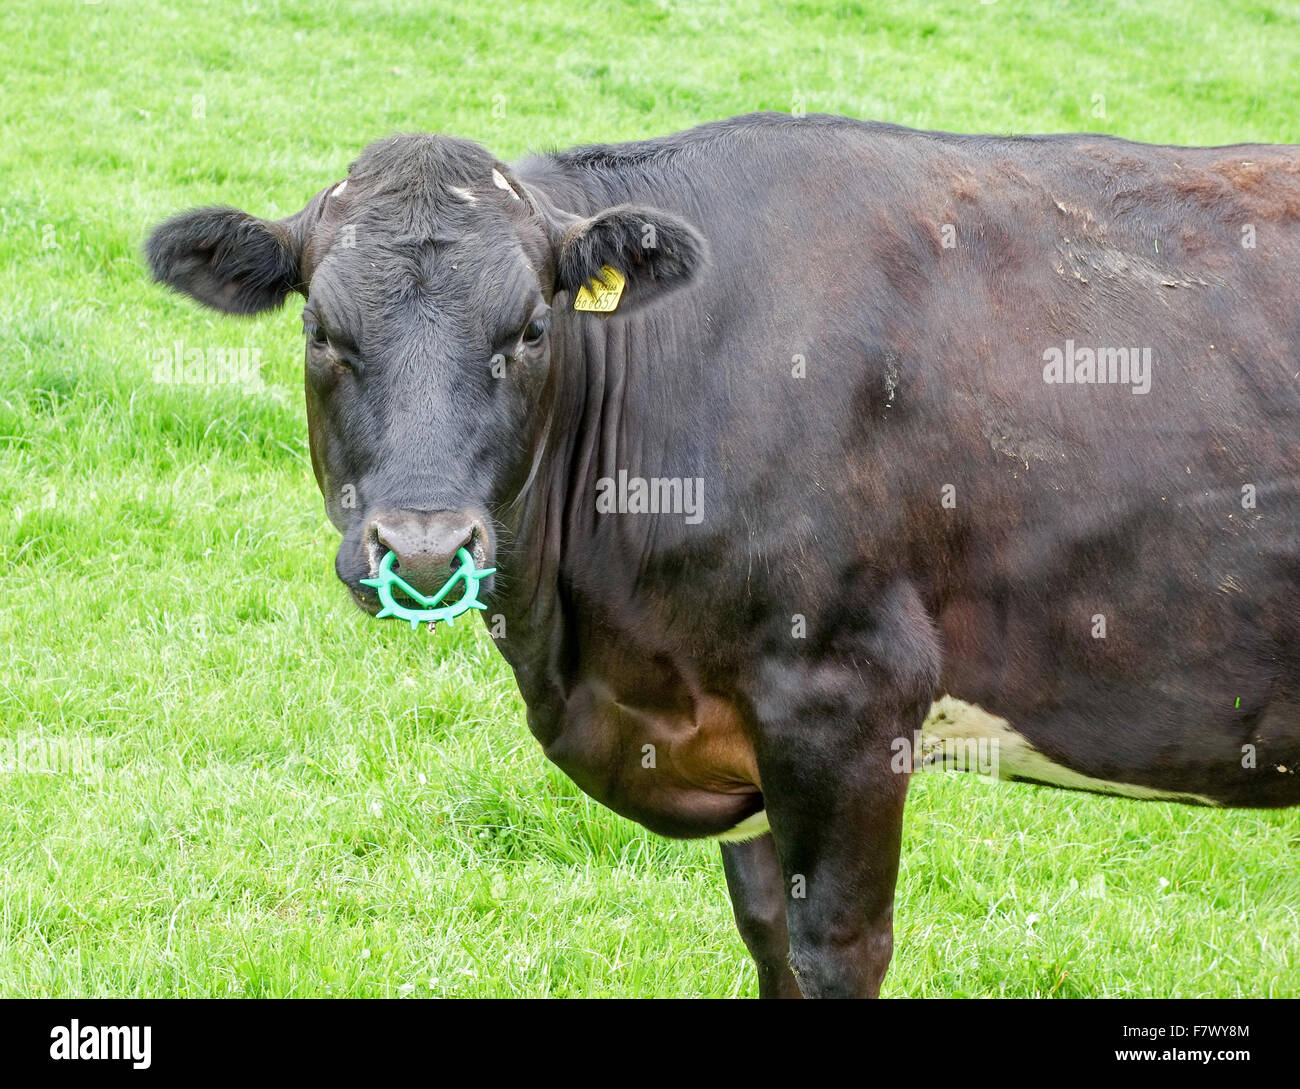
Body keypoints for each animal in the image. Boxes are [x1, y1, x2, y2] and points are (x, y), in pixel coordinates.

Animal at [146, 112, 1300, 998]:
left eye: (529, 330)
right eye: (322, 334)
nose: (424, 551)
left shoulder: (845, 704)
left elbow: (836, 951)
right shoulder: (740, 734)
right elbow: (769, 941)